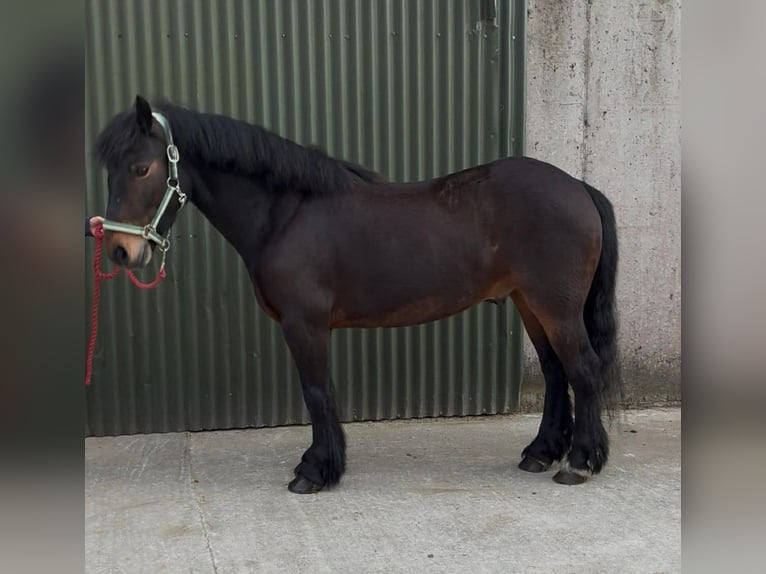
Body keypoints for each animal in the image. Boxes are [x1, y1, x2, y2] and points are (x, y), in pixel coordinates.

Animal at [93, 95, 621, 494]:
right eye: (110, 170)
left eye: (141, 168)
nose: (120, 250)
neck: (285, 213)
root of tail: (578, 186)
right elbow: (321, 393)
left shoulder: (304, 325)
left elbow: (316, 393)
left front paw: (314, 471)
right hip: (530, 303)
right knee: (555, 373)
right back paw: (540, 453)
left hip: (556, 307)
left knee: (583, 370)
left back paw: (578, 463)